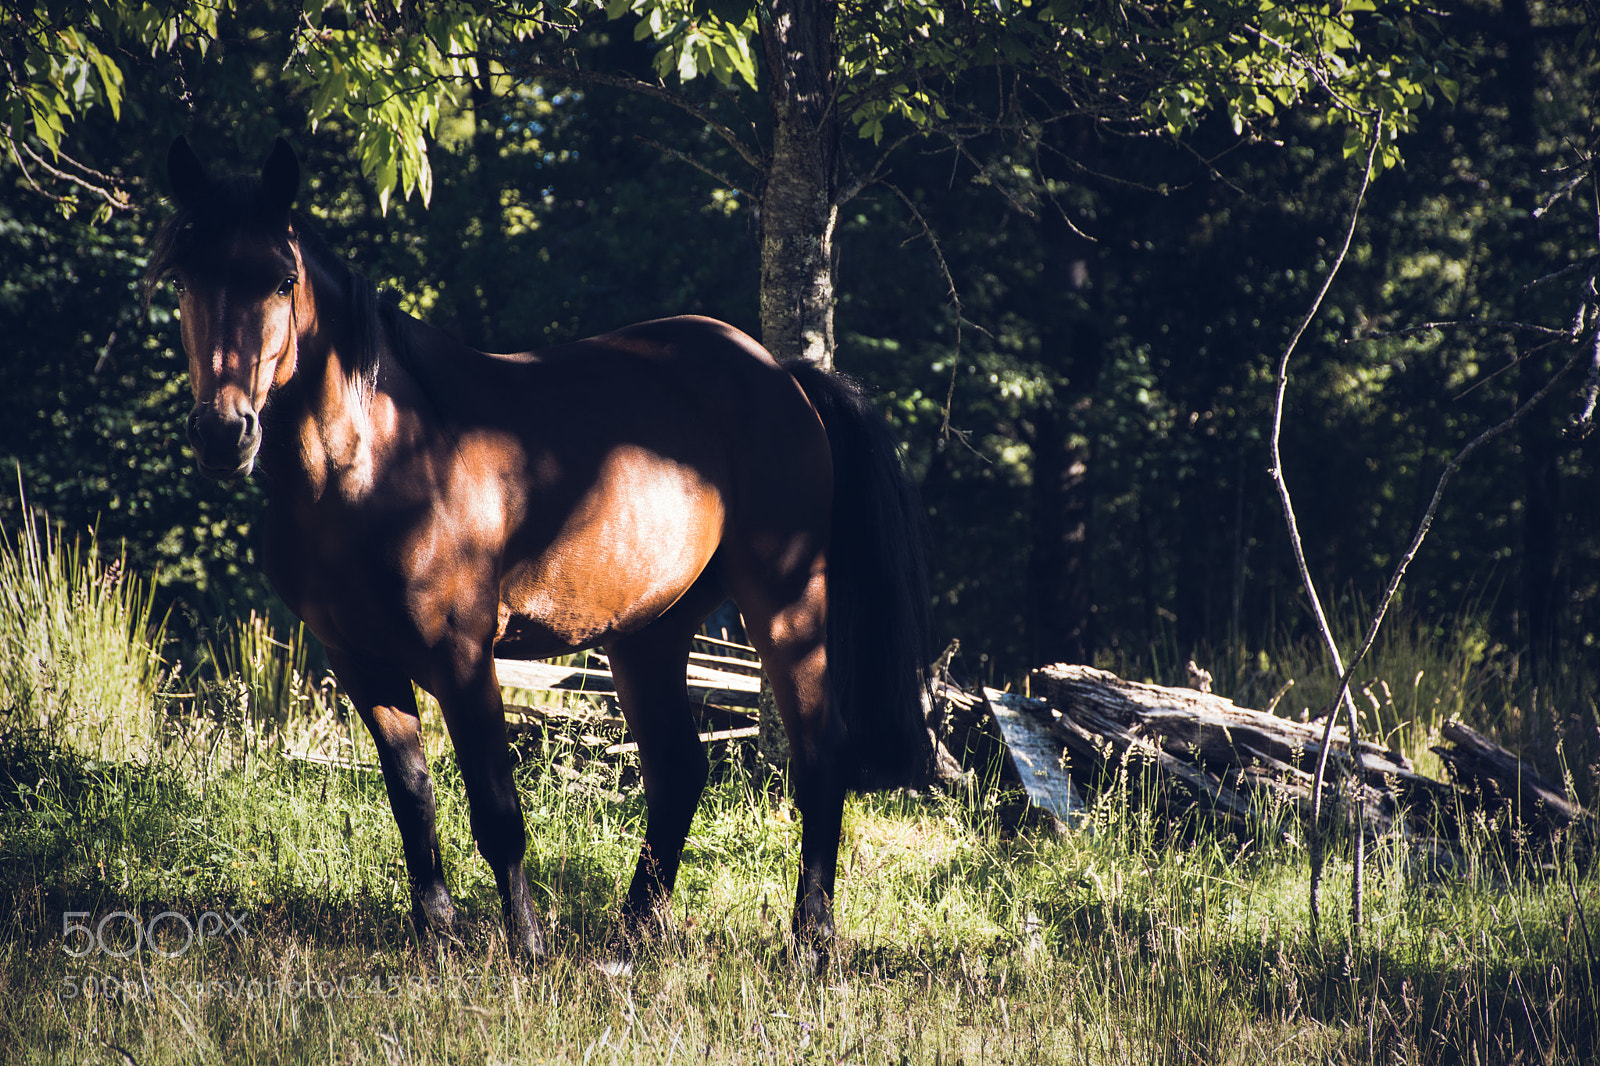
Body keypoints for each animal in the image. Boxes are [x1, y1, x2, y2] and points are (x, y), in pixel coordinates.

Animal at [144, 137, 932, 966]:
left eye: (282, 278)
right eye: (185, 275)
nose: (223, 433)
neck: (371, 464)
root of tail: (787, 377)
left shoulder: (462, 656)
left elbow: (496, 811)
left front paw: (526, 947)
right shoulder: (361, 663)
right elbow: (412, 801)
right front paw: (438, 937)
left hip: (784, 603)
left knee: (819, 759)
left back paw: (811, 941)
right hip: (650, 632)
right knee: (679, 771)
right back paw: (634, 929)